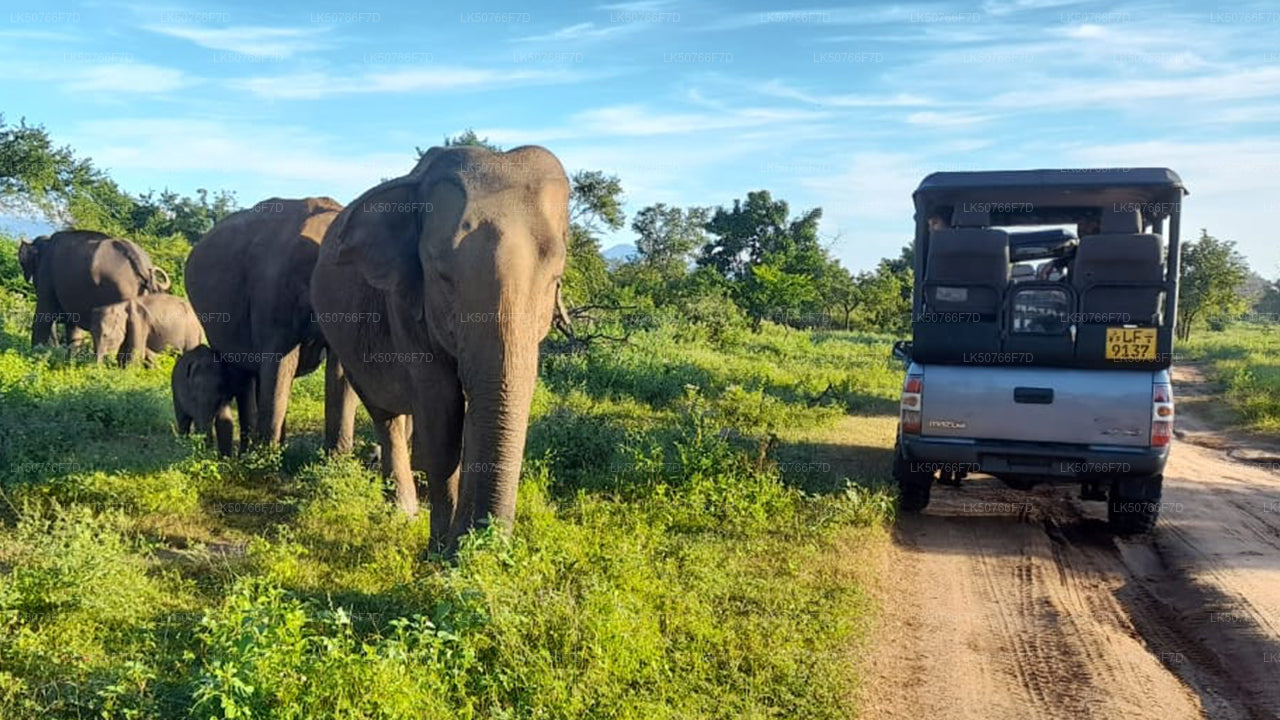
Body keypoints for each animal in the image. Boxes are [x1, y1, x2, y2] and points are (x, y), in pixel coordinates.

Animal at [17, 228, 171, 348]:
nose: (55, 346)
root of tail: (143, 267)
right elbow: (73, 326)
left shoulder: (46, 276)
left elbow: (44, 315)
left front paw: (35, 353)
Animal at [180, 193, 350, 445]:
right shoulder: (273, 293)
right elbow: (278, 363)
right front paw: (266, 453)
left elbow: (340, 371)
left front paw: (337, 456)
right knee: (245, 374)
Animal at [309, 144, 570, 548]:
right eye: (442, 277)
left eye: (555, 278)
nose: (472, 542)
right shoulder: (403, 303)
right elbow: (441, 411)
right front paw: (439, 550)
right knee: (384, 413)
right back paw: (403, 509)